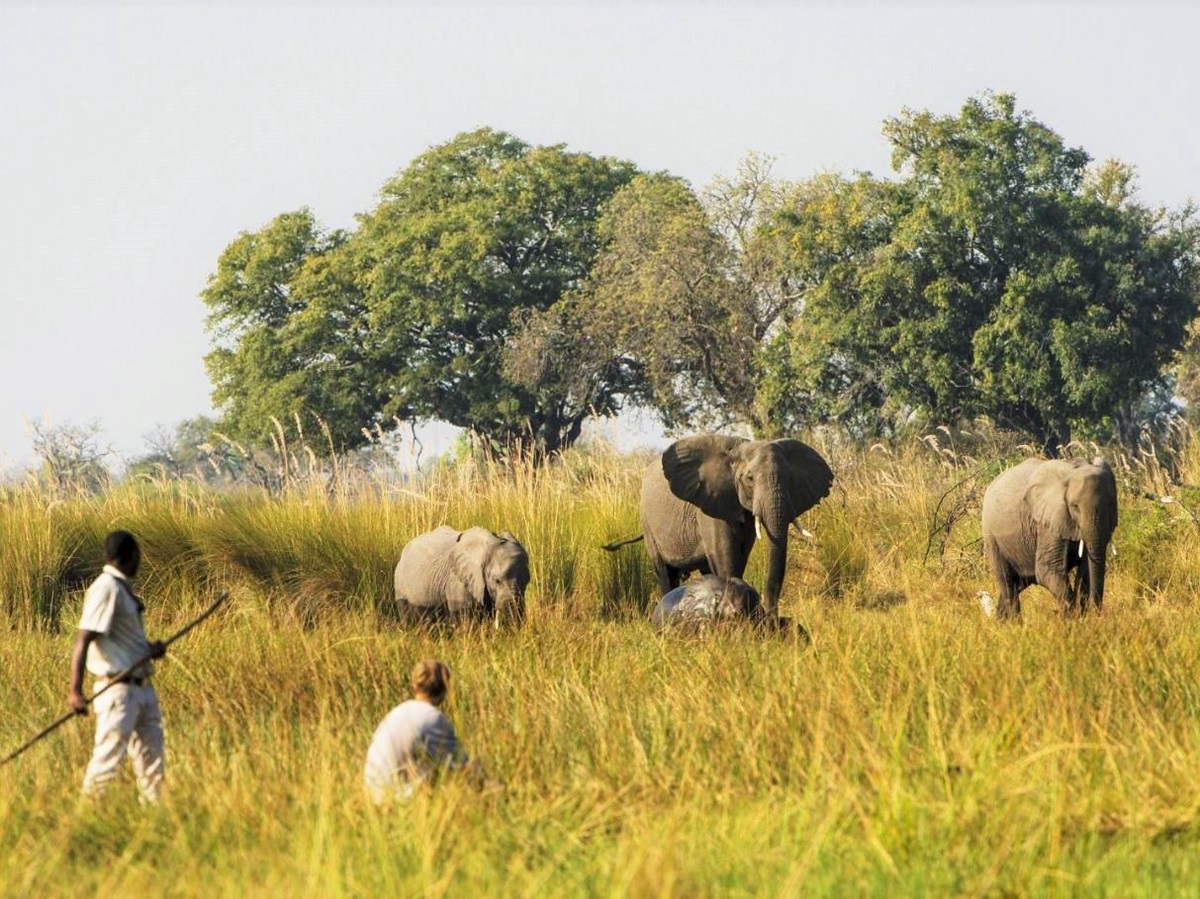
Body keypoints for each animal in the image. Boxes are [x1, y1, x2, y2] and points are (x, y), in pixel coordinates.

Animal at [609, 434, 834, 615]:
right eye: (750, 478)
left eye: (790, 479)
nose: (771, 614)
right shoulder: (711, 504)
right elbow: (726, 558)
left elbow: (740, 557)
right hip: (648, 525)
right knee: (665, 573)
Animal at [980, 456, 1118, 618]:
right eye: (1075, 506)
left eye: (1111, 504)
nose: (1097, 615)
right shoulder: (1047, 522)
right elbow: (1047, 569)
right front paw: (1073, 620)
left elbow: (1086, 570)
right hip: (991, 535)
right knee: (1007, 584)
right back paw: (1013, 623)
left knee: (1018, 584)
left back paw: (999, 621)